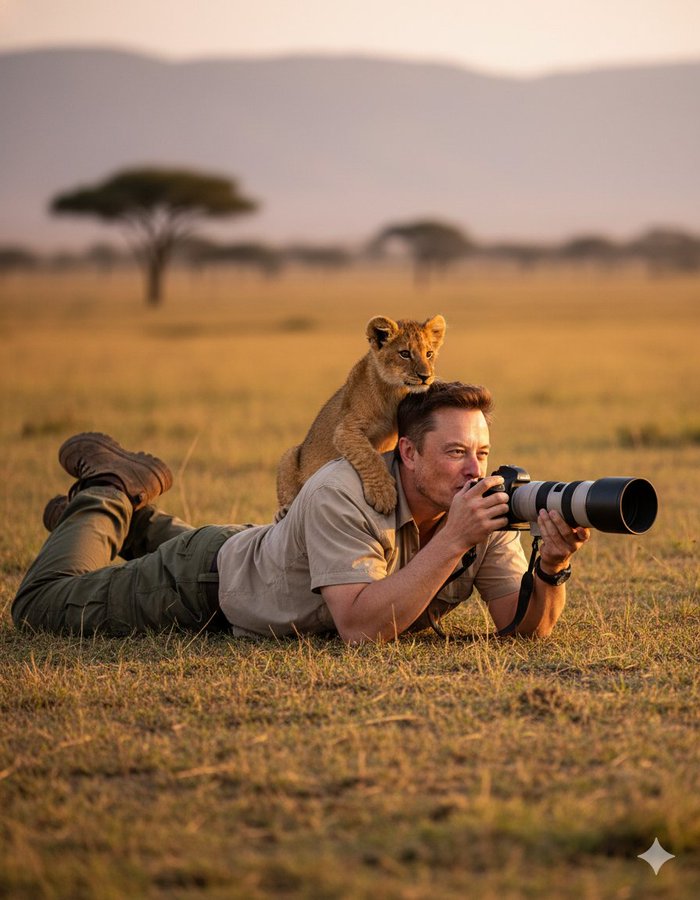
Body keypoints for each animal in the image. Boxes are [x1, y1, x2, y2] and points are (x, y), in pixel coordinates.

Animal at [276, 314, 446, 518]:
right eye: (405, 353)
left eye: (429, 354)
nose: (425, 376)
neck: (394, 393)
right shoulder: (345, 430)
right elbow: (369, 455)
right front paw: (383, 495)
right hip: (289, 456)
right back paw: (282, 511)